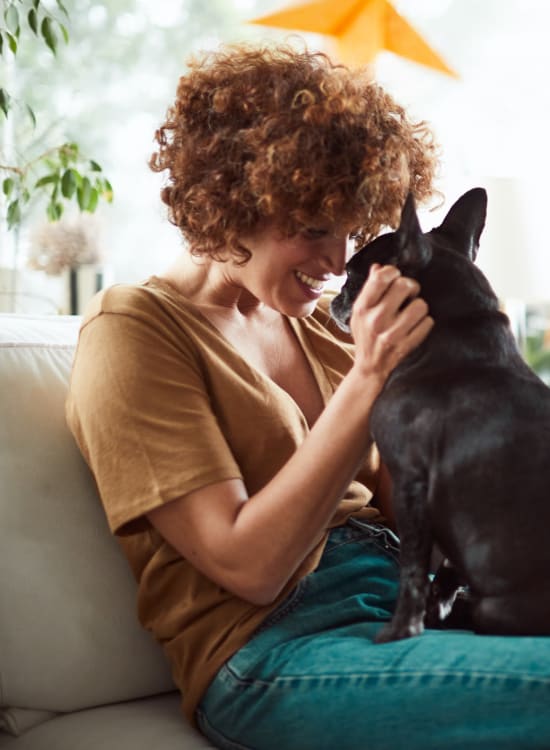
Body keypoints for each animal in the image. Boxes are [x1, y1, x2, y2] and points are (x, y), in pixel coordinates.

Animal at [332, 188, 550, 640]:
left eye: (352, 274)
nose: (336, 296)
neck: (453, 331)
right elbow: (447, 568)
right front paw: (434, 612)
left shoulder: (411, 482)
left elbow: (412, 568)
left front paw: (401, 629)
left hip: (500, 608)